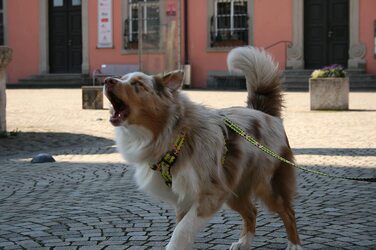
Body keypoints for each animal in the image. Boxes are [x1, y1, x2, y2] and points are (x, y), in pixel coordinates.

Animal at [103, 46, 302, 249]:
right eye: (122, 78)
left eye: (138, 84)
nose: (108, 80)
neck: (174, 135)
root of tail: (263, 113)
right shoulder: (185, 198)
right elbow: (182, 229)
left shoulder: (209, 194)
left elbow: (181, 231)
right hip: (234, 188)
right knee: (252, 211)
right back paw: (243, 243)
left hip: (266, 184)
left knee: (288, 213)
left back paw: (294, 245)